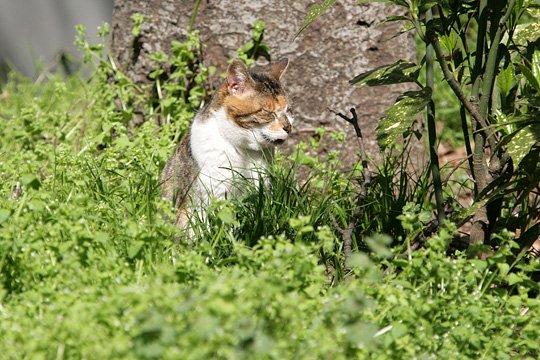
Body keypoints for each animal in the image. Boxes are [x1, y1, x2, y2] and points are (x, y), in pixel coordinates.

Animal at [161, 57, 294, 229]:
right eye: (268, 112)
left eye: (288, 110)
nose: (288, 127)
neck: (243, 151)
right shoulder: (211, 193)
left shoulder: (261, 187)